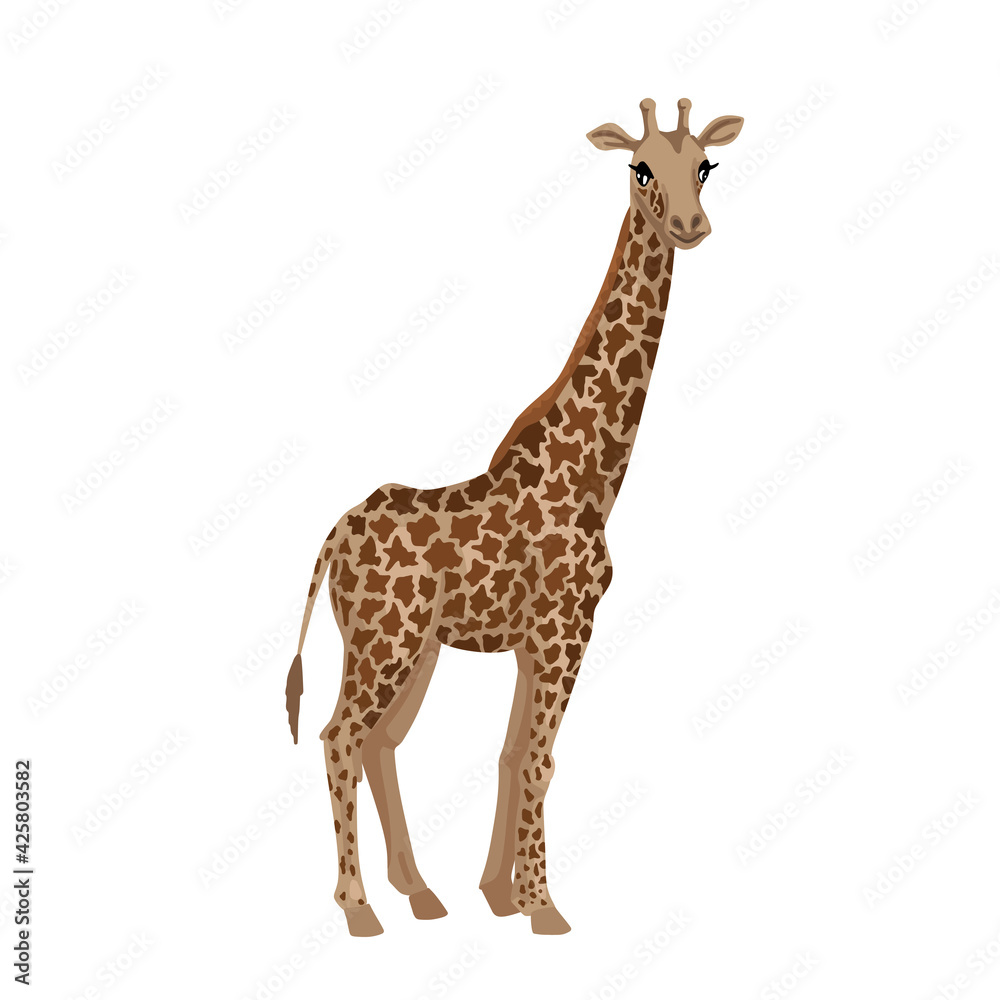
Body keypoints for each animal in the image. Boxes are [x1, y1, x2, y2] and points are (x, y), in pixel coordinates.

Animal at [284, 98, 743, 936]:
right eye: (639, 168)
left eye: (705, 164)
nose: (690, 224)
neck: (595, 474)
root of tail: (334, 535)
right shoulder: (566, 626)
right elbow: (538, 756)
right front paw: (544, 906)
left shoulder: (537, 638)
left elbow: (511, 753)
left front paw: (501, 894)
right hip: (384, 642)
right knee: (338, 736)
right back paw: (361, 909)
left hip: (417, 649)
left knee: (379, 744)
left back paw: (421, 894)